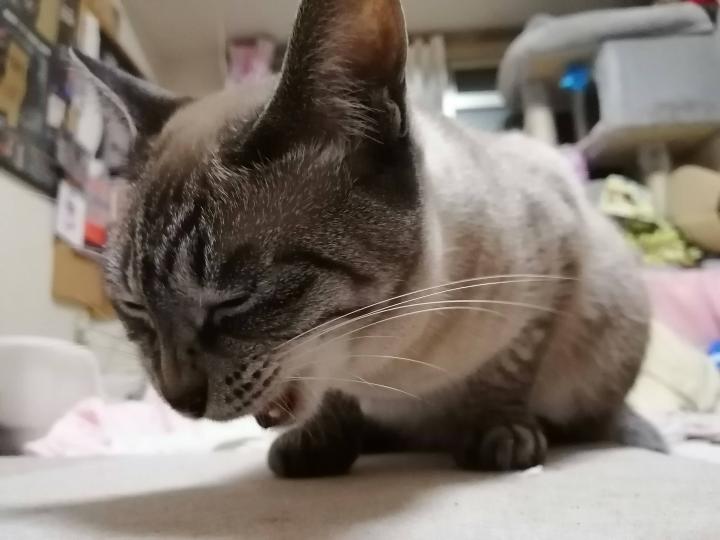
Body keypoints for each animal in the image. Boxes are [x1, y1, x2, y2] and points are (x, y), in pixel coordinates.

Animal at [72, 0, 665, 478]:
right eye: (134, 308)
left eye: (235, 300)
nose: (179, 401)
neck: (385, 370)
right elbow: (333, 400)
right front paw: (320, 445)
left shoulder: (551, 273)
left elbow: (507, 374)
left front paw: (498, 433)